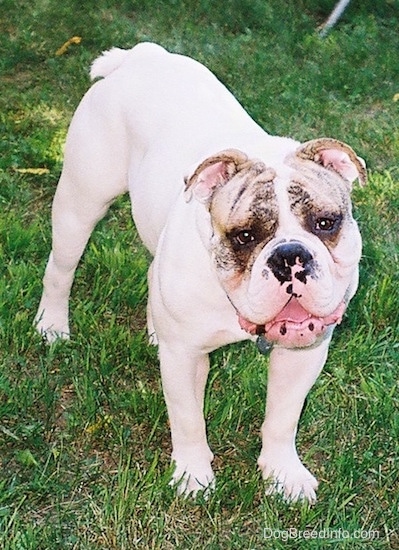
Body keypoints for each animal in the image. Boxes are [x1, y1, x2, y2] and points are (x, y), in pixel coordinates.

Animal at [36, 44, 368, 504]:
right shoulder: (185, 358)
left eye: (325, 223)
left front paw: (283, 472)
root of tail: (139, 55)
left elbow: (283, 417)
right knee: (60, 269)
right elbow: (188, 419)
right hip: (80, 205)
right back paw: (51, 325)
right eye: (244, 236)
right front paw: (192, 476)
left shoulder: (304, 353)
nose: (289, 256)